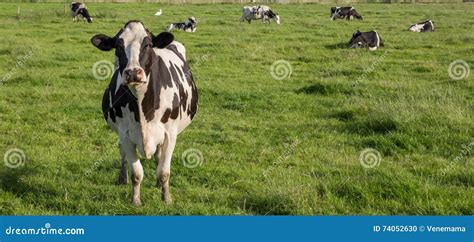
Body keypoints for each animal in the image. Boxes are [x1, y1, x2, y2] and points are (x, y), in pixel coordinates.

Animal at [90, 21, 198, 206]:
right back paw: (122, 178)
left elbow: (164, 171)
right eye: (118, 46)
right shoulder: (125, 134)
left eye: (147, 44)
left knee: (158, 157)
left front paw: (166, 197)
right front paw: (135, 200)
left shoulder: (170, 134)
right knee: (122, 153)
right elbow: (136, 172)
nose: (133, 72)